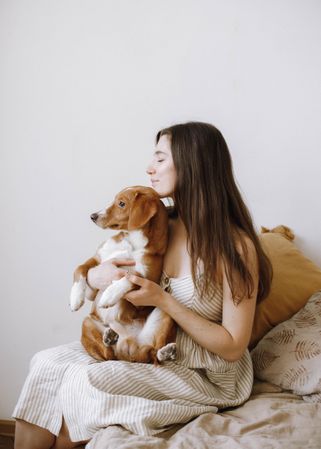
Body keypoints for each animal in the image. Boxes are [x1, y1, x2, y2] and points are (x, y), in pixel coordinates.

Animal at [69, 186, 176, 364]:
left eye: (121, 203)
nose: (93, 216)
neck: (132, 242)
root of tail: (128, 349)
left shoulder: (149, 279)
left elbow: (130, 276)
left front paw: (110, 294)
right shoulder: (98, 259)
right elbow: (79, 269)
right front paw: (76, 299)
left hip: (166, 310)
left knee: (153, 355)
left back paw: (167, 352)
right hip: (88, 323)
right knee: (108, 355)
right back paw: (110, 336)